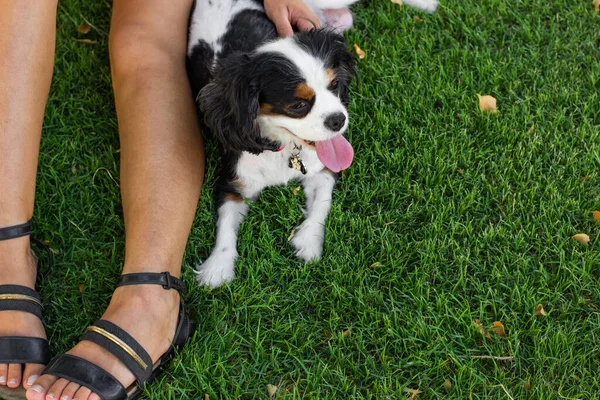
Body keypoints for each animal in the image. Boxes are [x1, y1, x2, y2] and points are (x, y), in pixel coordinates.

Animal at [185, 0, 438, 288]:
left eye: (335, 84)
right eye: (298, 105)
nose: (338, 119)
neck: (284, 146)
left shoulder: (323, 169)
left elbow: (322, 203)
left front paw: (308, 241)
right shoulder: (233, 180)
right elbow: (225, 225)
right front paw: (218, 267)